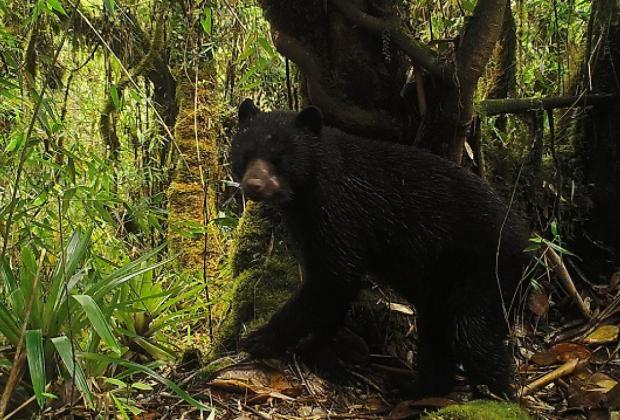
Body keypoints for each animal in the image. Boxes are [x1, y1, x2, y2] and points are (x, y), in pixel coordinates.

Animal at [229, 98, 528, 398]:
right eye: (245, 154)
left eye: (279, 158)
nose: (253, 185)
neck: (308, 191)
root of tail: (527, 241)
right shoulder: (310, 227)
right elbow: (334, 284)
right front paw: (318, 348)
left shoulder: (341, 214)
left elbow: (332, 278)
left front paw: (260, 339)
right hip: (444, 282)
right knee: (437, 331)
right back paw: (418, 388)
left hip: (487, 272)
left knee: (472, 334)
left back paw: (496, 394)